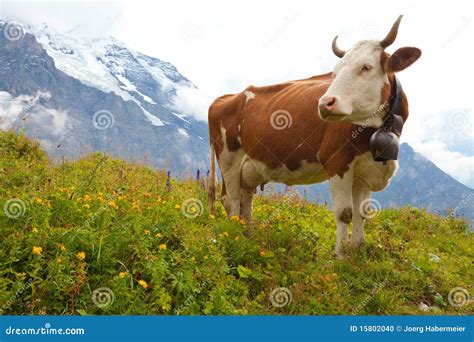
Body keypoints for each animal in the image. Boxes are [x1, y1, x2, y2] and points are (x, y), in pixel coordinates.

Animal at [206, 15, 420, 256]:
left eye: (366, 67)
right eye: (334, 73)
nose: (325, 103)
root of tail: (227, 97)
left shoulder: (365, 170)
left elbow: (361, 213)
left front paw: (358, 251)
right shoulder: (337, 161)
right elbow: (345, 213)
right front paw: (340, 256)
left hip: (250, 166)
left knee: (245, 199)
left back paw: (248, 237)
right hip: (228, 159)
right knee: (231, 200)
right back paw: (233, 237)